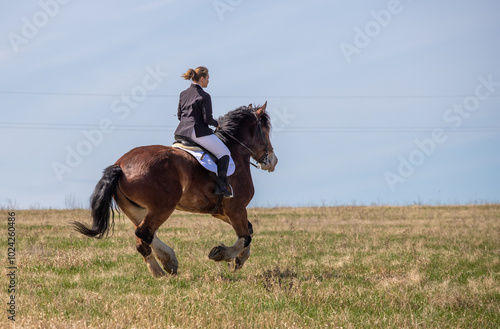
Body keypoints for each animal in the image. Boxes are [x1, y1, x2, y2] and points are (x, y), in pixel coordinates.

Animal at [72, 102, 278, 276]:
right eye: (266, 130)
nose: (273, 161)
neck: (235, 151)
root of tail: (120, 166)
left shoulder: (221, 211)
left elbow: (249, 230)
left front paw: (239, 260)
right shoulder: (236, 208)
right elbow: (245, 236)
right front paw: (222, 254)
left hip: (136, 209)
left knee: (145, 236)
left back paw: (166, 264)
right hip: (163, 206)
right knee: (144, 233)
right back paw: (163, 269)